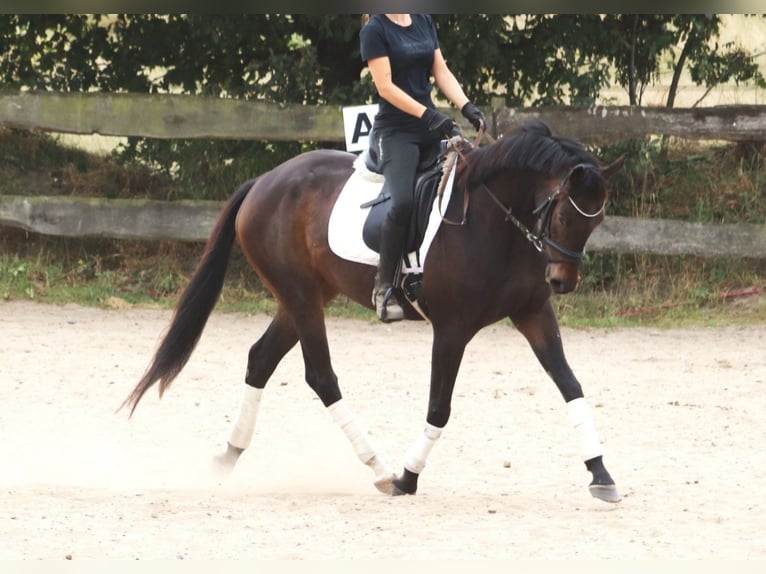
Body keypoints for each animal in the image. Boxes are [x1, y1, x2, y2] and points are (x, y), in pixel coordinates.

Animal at [122, 118, 625, 503]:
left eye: (597, 218)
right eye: (565, 215)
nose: (562, 281)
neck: (492, 220)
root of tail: (264, 181)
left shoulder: (534, 315)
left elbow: (571, 386)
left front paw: (601, 474)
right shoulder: (452, 328)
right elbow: (439, 407)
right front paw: (407, 477)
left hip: (305, 296)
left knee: (261, 359)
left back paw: (229, 456)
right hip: (301, 297)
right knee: (321, 376)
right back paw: (380, 467)